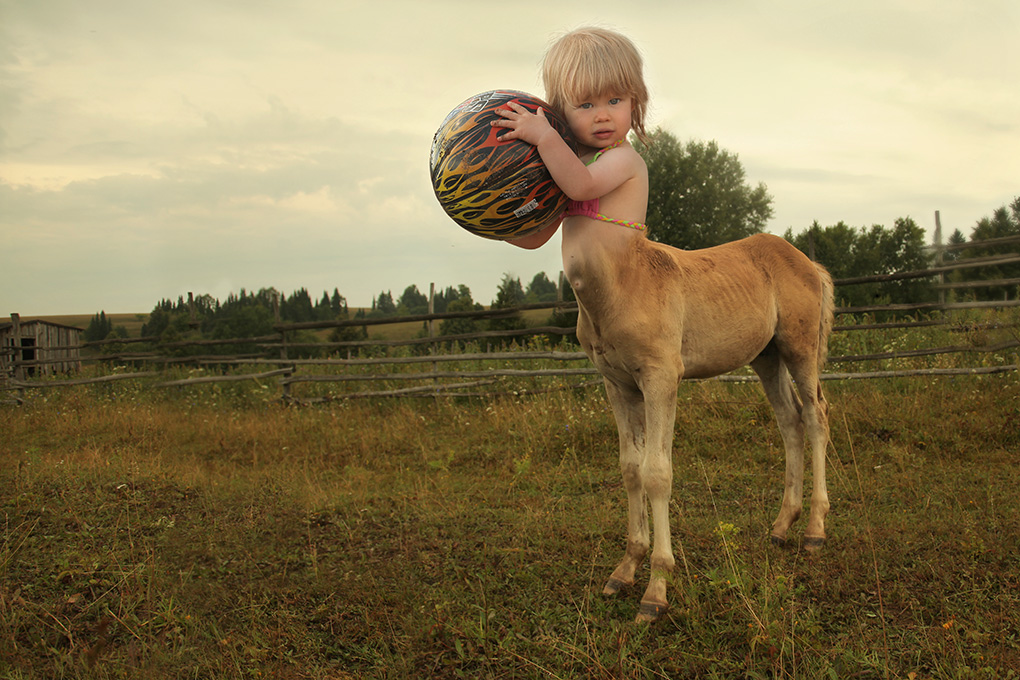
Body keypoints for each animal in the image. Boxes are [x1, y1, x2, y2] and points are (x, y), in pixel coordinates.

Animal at [571, 228, 832, 623]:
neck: (620, 284)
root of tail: (807, 263)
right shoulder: (616, 385)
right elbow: (631, 469)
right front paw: (625, 569)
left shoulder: (661, 379)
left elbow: (656, 473)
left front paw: (656, 590)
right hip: (766, 356)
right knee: (791, 421)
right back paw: (782, 525)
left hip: (799, 347)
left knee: (816, 417)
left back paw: (815, 530)